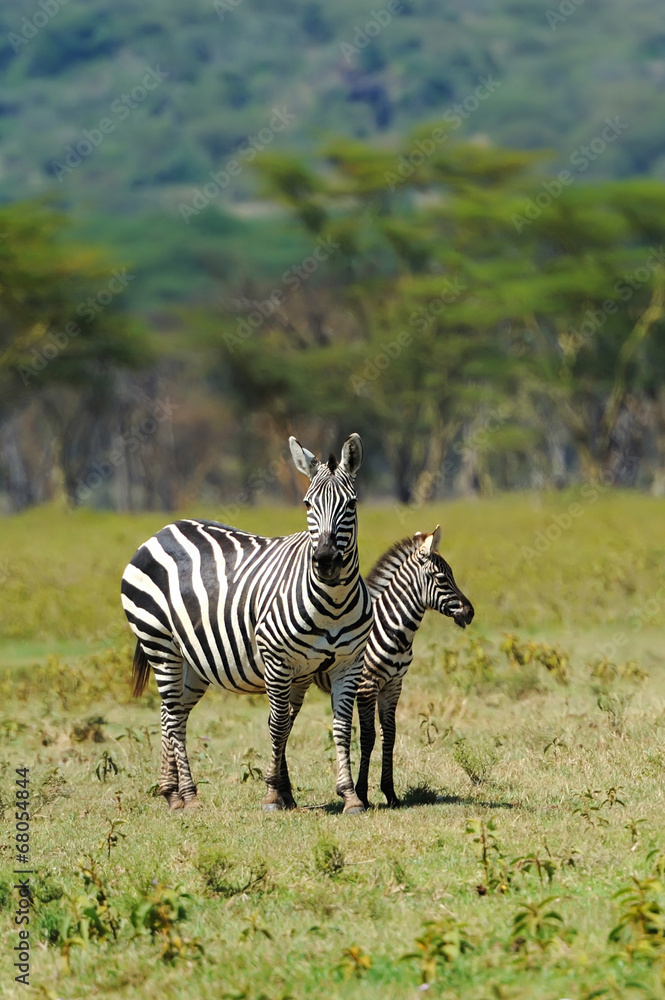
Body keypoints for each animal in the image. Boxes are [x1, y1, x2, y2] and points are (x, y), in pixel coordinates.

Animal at [120, 434, 374, 816]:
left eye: (351, 504)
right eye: (307, 504)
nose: (326, 561)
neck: (333, 600)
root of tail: (163, 530)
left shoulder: (348, 663)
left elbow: (342, 727)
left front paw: (349, 796)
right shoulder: (276, 659)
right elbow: (278, 725)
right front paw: (272, 794)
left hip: (193, 661)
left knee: (169, 714)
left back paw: (171, 793)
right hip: (159, 644)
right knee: (174, 717)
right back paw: (189, 796)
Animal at [314, 528, 470, 808]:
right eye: (442, 578)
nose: (471, 613)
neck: (396, 631)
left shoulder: (394, 684)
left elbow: (390, 734)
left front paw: (390, 793)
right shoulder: (367, 685)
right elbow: (367, 737)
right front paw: (362, 794)